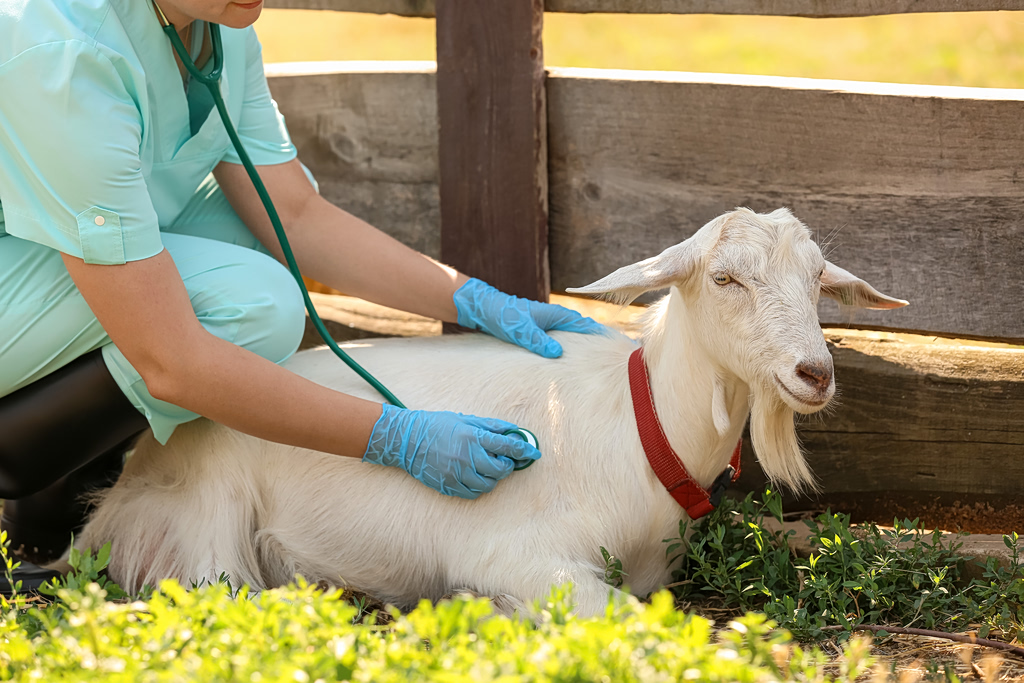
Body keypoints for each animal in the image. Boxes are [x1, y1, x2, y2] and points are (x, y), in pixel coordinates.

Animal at [75, 207, 906, 616]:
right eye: (727, 277)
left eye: (818, 278)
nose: (814, 372)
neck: (641, 428)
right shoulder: (517, 551)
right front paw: (485, 610)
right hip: (205, 527)